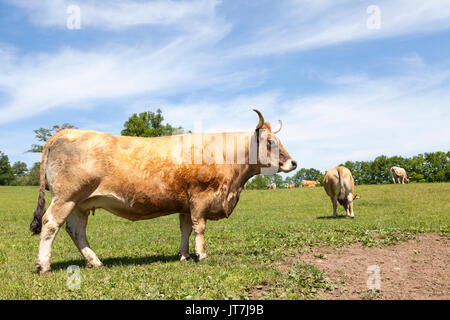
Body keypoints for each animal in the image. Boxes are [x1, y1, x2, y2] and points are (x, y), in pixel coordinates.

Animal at [29, 110, 298, 276]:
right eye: (270, 142)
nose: (293, 162)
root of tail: (64, 131)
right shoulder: (200, 198)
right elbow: (199, 228)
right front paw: (201, 255)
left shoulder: (185, 204)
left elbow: (185, 229)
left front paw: (184, 255)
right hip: (66, 197)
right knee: (50, 224)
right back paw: (44, 266)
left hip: (81, 203)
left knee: (76, 230)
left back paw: (95, 262)